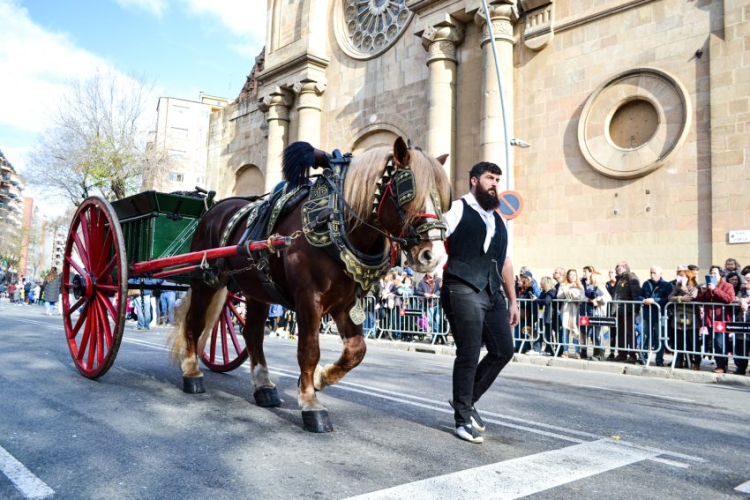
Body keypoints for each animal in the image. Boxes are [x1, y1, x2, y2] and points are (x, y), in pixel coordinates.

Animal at [170, 136, 452, 430]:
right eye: (408, 190)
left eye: (445, 198)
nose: (434, 256)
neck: (334, 224)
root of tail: (214, 209)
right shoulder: (309, 298)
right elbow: (308, 350)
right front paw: (310, 403)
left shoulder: (346, 304)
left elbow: (356, 350)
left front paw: (318, 378)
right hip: (204, 281)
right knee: (194, 323)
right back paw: (191, 372)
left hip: (257, 290)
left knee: (252, 334)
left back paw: (264, 386)